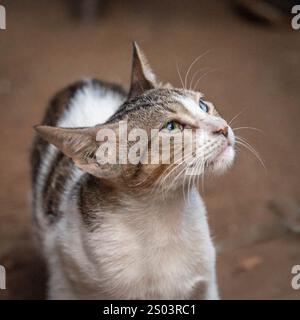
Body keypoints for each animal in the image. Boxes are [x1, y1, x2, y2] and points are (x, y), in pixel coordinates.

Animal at [31, 42, 236, 300]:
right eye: (172, 127)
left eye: (202, 105)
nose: (223, 128)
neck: (162, 218)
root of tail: (83, 81)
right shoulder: (64, 282)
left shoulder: (206, 285)